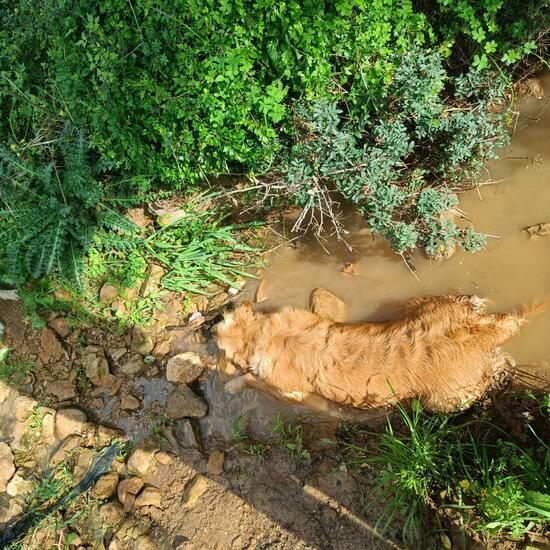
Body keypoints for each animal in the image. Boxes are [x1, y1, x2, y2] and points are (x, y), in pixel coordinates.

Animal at [216, 298, 548, 418]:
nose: (209, 327)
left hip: (445, 400)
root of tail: (487, 332)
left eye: (221, 349)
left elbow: (253, 378)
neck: (262, 335)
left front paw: (232, 384)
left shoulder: (290, 391)